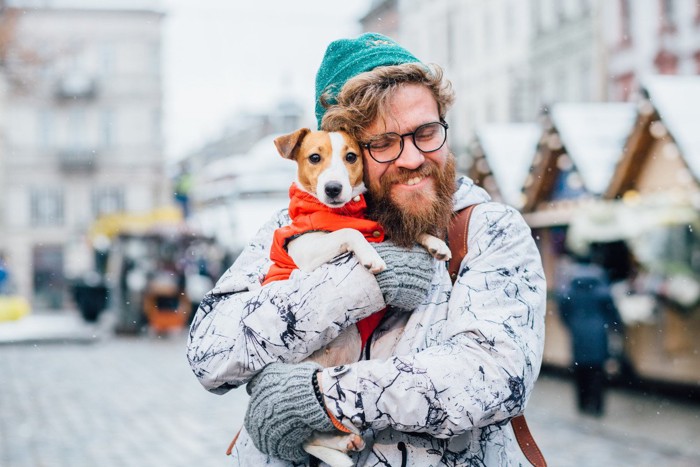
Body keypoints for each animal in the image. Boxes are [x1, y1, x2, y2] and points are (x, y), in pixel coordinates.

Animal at [266, 128, 452, 467]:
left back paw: (346, 443)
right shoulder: (306, 249)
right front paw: (370, 255)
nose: (333, 188)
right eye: (315, 157)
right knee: (307, 439)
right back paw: (341, 453)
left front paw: (434, 242)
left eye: (351, 156)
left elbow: (395, 233)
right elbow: (348, 233)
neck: (339, 212)